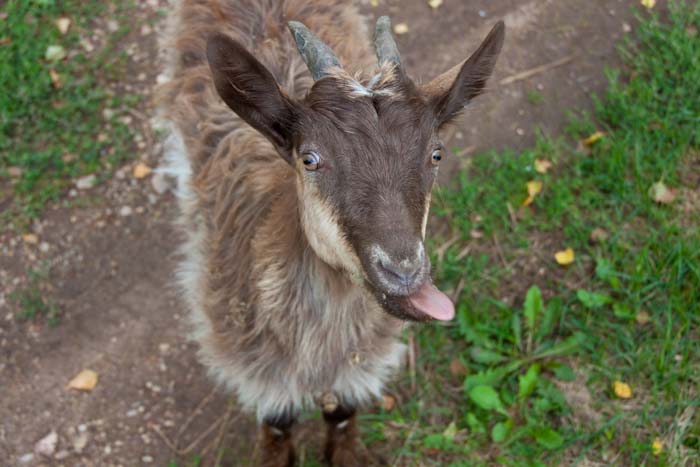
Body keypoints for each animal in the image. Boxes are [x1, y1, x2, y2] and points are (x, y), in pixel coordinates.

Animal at [157, 1, 504, 466]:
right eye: (310, 159)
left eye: (436, 153)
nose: (403, 272)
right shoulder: (258, 371)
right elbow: (278, 424)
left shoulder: (357, 367)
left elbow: (340, 414)